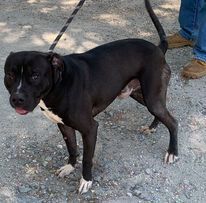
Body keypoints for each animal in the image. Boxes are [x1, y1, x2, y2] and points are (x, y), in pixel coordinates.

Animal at [3, 0, 177, 193]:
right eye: (10, 75)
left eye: (35, 75)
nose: (17, 99)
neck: (59, 84)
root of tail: (159, 48)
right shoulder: (64, 126)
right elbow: (71, 147)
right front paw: (69, 167)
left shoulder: (90, 128)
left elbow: (87, 158)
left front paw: (86, 180)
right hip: (142, 95)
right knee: (162, 113)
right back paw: (152, 127)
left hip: (151, 97)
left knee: (173, 121)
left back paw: (172, 152)